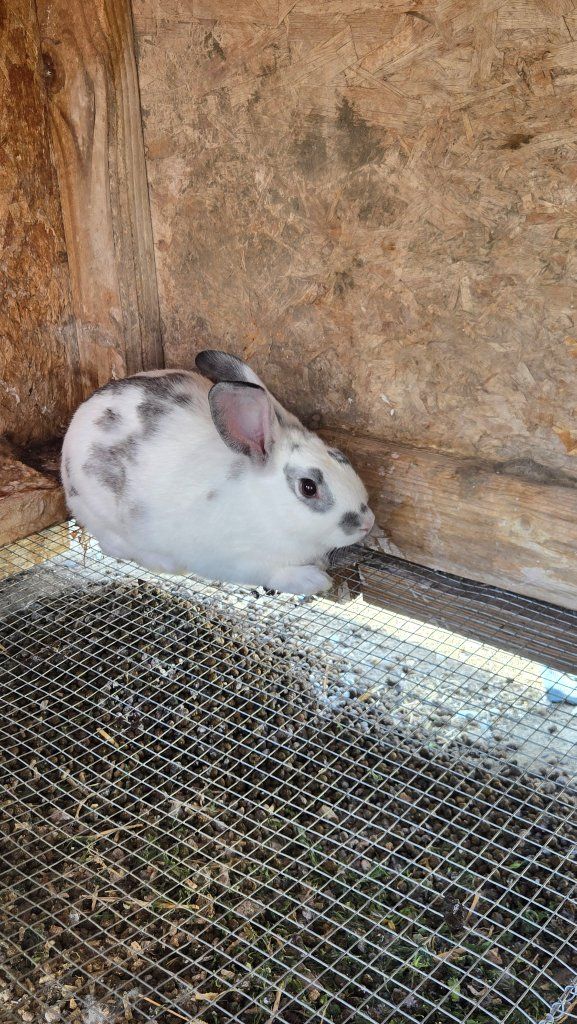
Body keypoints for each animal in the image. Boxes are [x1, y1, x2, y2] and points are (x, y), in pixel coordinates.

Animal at [60, 350, 375, 595]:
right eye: (308, 487)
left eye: (341, 456)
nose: (367, 523)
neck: (267, 510)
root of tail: (81, 415)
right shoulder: (240, 562)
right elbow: (273, 573)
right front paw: (312, 580)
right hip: (101, 513)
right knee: (114, 545)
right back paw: (167, 563)